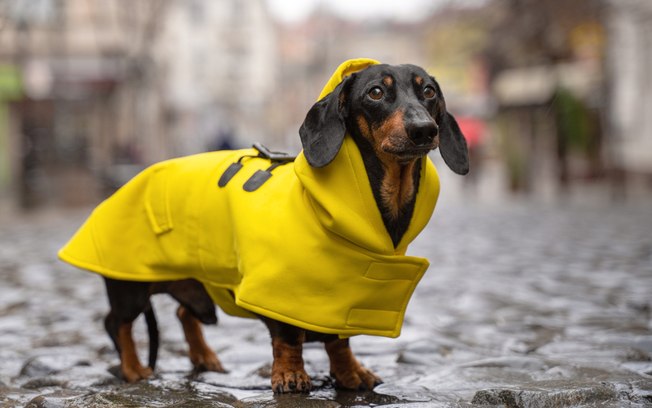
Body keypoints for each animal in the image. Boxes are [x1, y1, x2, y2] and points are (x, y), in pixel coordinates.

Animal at [58, 59, 468, 394]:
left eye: (428, 92)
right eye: (376, 92)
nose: (424, 130)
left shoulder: (339, 297)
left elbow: (339, 341)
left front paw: (350, 373)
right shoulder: (281, 291)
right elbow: (287, 338)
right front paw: (290, 375)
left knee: (182, 313)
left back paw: (204, 358)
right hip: (130, 286)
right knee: (116, 324)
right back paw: (133, 369)